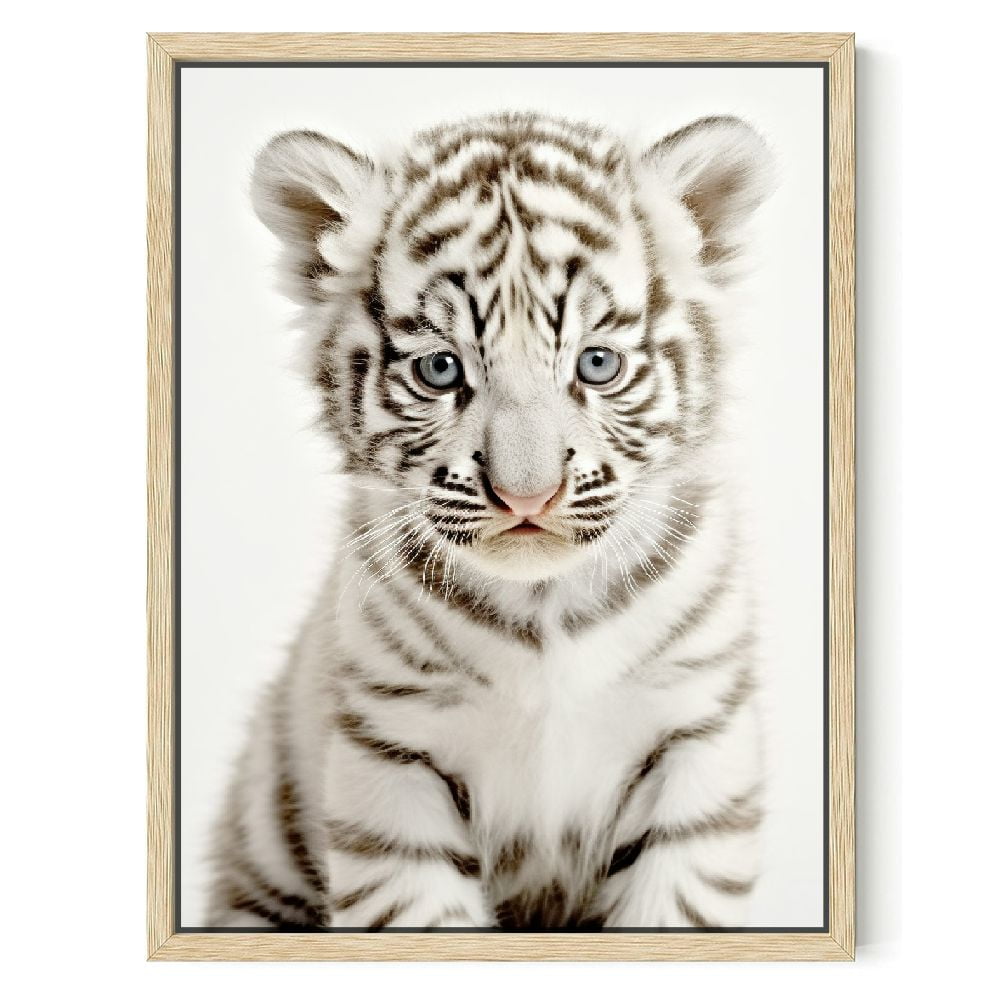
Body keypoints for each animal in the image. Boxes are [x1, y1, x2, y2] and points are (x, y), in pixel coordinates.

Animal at [206, 111, 774, 930]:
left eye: (597, 364)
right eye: (440, 370)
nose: (527, 498)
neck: (546, 613)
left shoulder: (697, 740)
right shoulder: (393, 759)